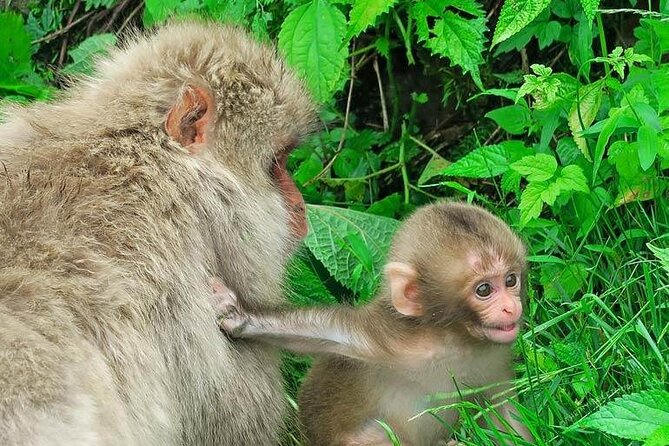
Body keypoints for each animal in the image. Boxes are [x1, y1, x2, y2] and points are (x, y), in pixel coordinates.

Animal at [218, 203, 532, 446]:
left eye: (510, 280)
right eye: (484, 290)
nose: (511, 307)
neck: (452, 341)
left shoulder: (493, 359)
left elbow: (504, 415)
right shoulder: (388, 340)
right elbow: (329, 332)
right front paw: (241, 317)